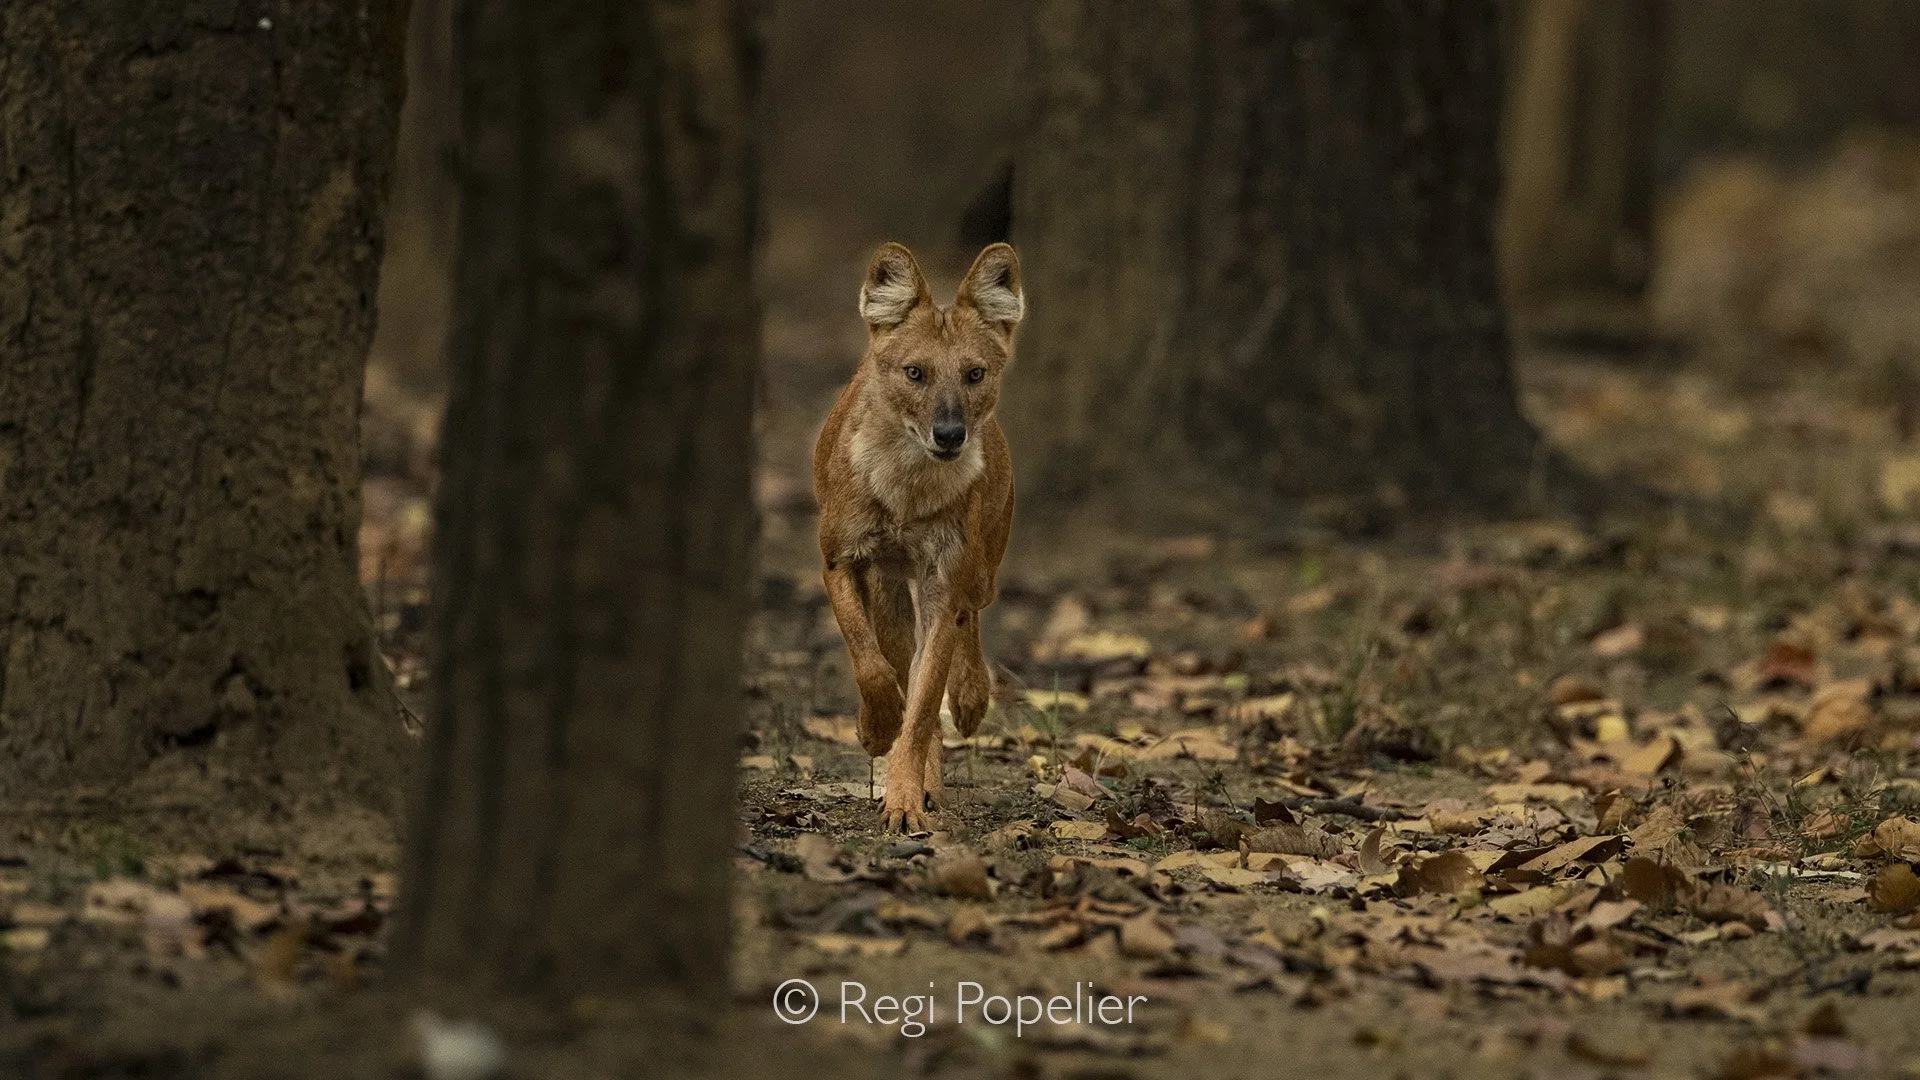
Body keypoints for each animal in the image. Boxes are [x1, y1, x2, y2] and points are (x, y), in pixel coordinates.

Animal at [813, 241, 1023, 832]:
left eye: (974, 374)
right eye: (915, 373)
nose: (949, 434)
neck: (907, 488)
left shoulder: (941, 583)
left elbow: (926, 699)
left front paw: (905, 798)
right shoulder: (841, 562)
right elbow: (872, 666)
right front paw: (875, 730)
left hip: (981, 569)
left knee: (967, 623)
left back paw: (970, 702)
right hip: (889, 590)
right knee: (895, 658)